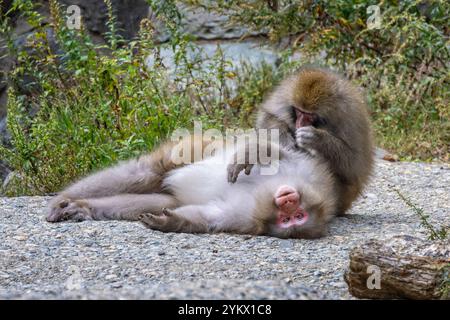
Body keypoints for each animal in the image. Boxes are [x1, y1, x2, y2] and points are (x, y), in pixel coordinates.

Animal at [46, 136, 338, 239]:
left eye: (296, 218)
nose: (288, 202)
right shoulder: (309, 176)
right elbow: (279, 152)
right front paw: (250, 153)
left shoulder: (244, 218)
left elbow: (208, 217)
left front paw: (169, 222)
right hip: (191, 148)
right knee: (145, 171)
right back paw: (63, 199)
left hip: (172, 193)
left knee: (164, 200)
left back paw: (81, 208)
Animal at [227, 67, 374, 215]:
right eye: (299, 111)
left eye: (309, 115)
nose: (299, 123)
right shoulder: (287, 92)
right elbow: (268, 116)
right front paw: (285, 141)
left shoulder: (350, 116)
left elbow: (354, 165)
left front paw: (316, 138)